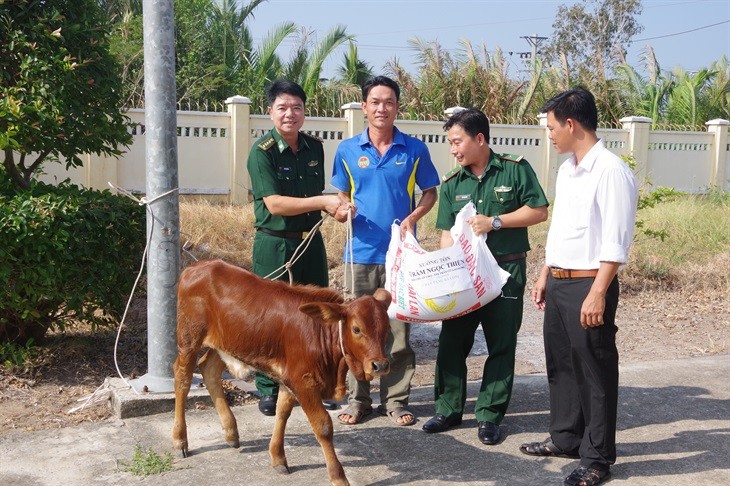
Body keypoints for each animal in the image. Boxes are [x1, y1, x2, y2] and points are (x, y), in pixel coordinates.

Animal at [172, 260, 392, 486]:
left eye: (387, 328)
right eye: (356, 329)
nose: (380, 365)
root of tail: (198, 266)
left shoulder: (289, 376)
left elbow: (283, 412)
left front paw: (278, 457)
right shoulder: (303, 381)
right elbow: (323, 426)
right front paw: (338, 477)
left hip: (225, 344)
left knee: (208, 369)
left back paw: (231, 432)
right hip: (189, 338)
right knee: (182, 378)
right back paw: (180, 440)